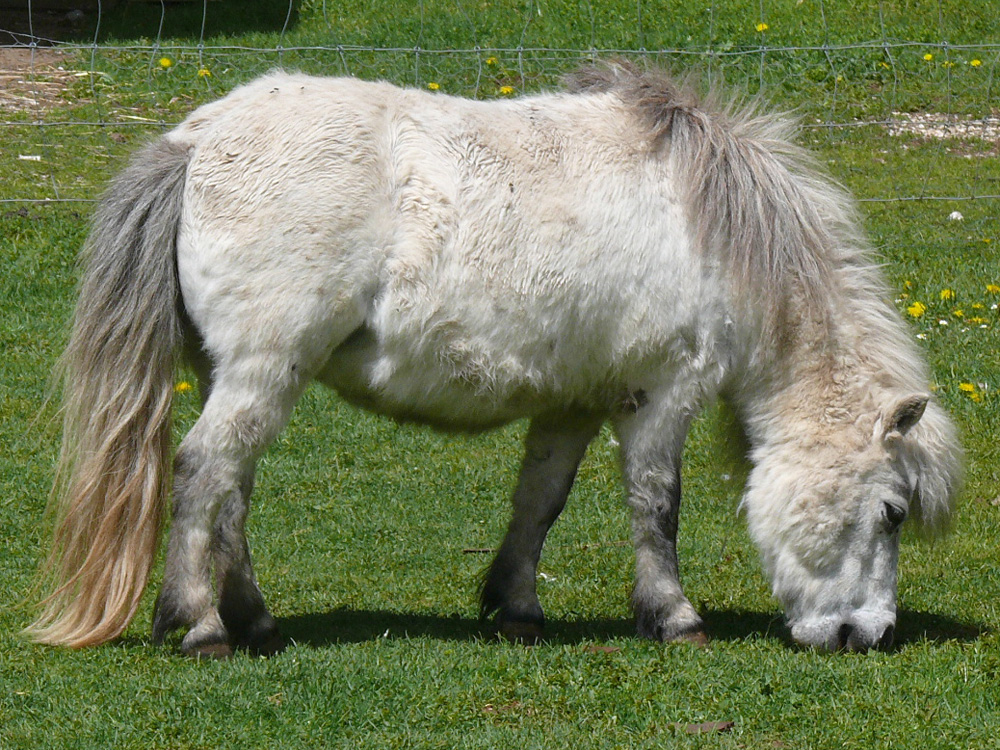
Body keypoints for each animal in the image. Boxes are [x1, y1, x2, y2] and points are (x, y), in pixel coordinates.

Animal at [25, 64, 960, 656]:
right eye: (891, 513)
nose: (868, 636)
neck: (714, 230)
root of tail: (195, 139)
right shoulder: (662, 393)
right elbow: (657, 505)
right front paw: (674, 616)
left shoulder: (574, 400)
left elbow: (540, 500)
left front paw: (515, 607)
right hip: (264, 368)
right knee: (202, 474)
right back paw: (199, 626)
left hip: (241, 374)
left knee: (232, 493)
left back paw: (254, 622)